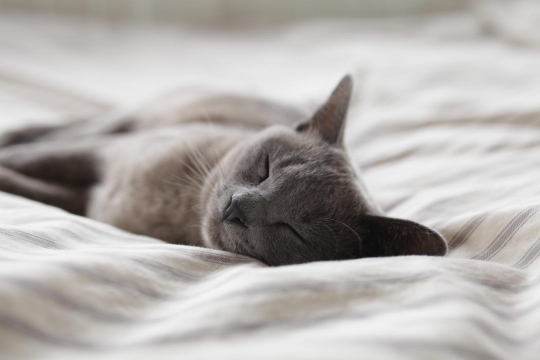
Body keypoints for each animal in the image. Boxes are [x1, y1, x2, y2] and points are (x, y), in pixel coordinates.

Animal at [0, 76, 448, 266]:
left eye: (293, 230)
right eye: (265, 168)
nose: (237, 208)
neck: (178, 210)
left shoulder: (88, 200)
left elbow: (33, 187)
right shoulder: (104, 155)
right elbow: (34, 160)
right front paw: (8, 157)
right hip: (127, 122)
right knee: (67, 128)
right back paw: (14, 132)